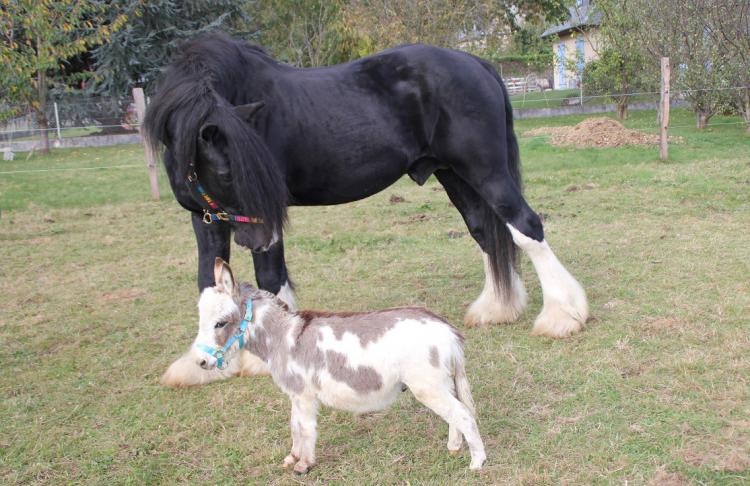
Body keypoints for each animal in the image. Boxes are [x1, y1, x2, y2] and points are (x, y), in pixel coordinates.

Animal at [147, 33, 592, 384]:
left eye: (255, 170)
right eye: (224, 172)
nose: (259, 236)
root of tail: (477, 64)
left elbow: (270, 278)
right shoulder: (205, 218)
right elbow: (208, 282)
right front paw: (200, 361)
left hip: (485, 171)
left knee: (525, 226)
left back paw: (561, 316)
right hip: (454, 175)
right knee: (485, 231)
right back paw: (497, 309)